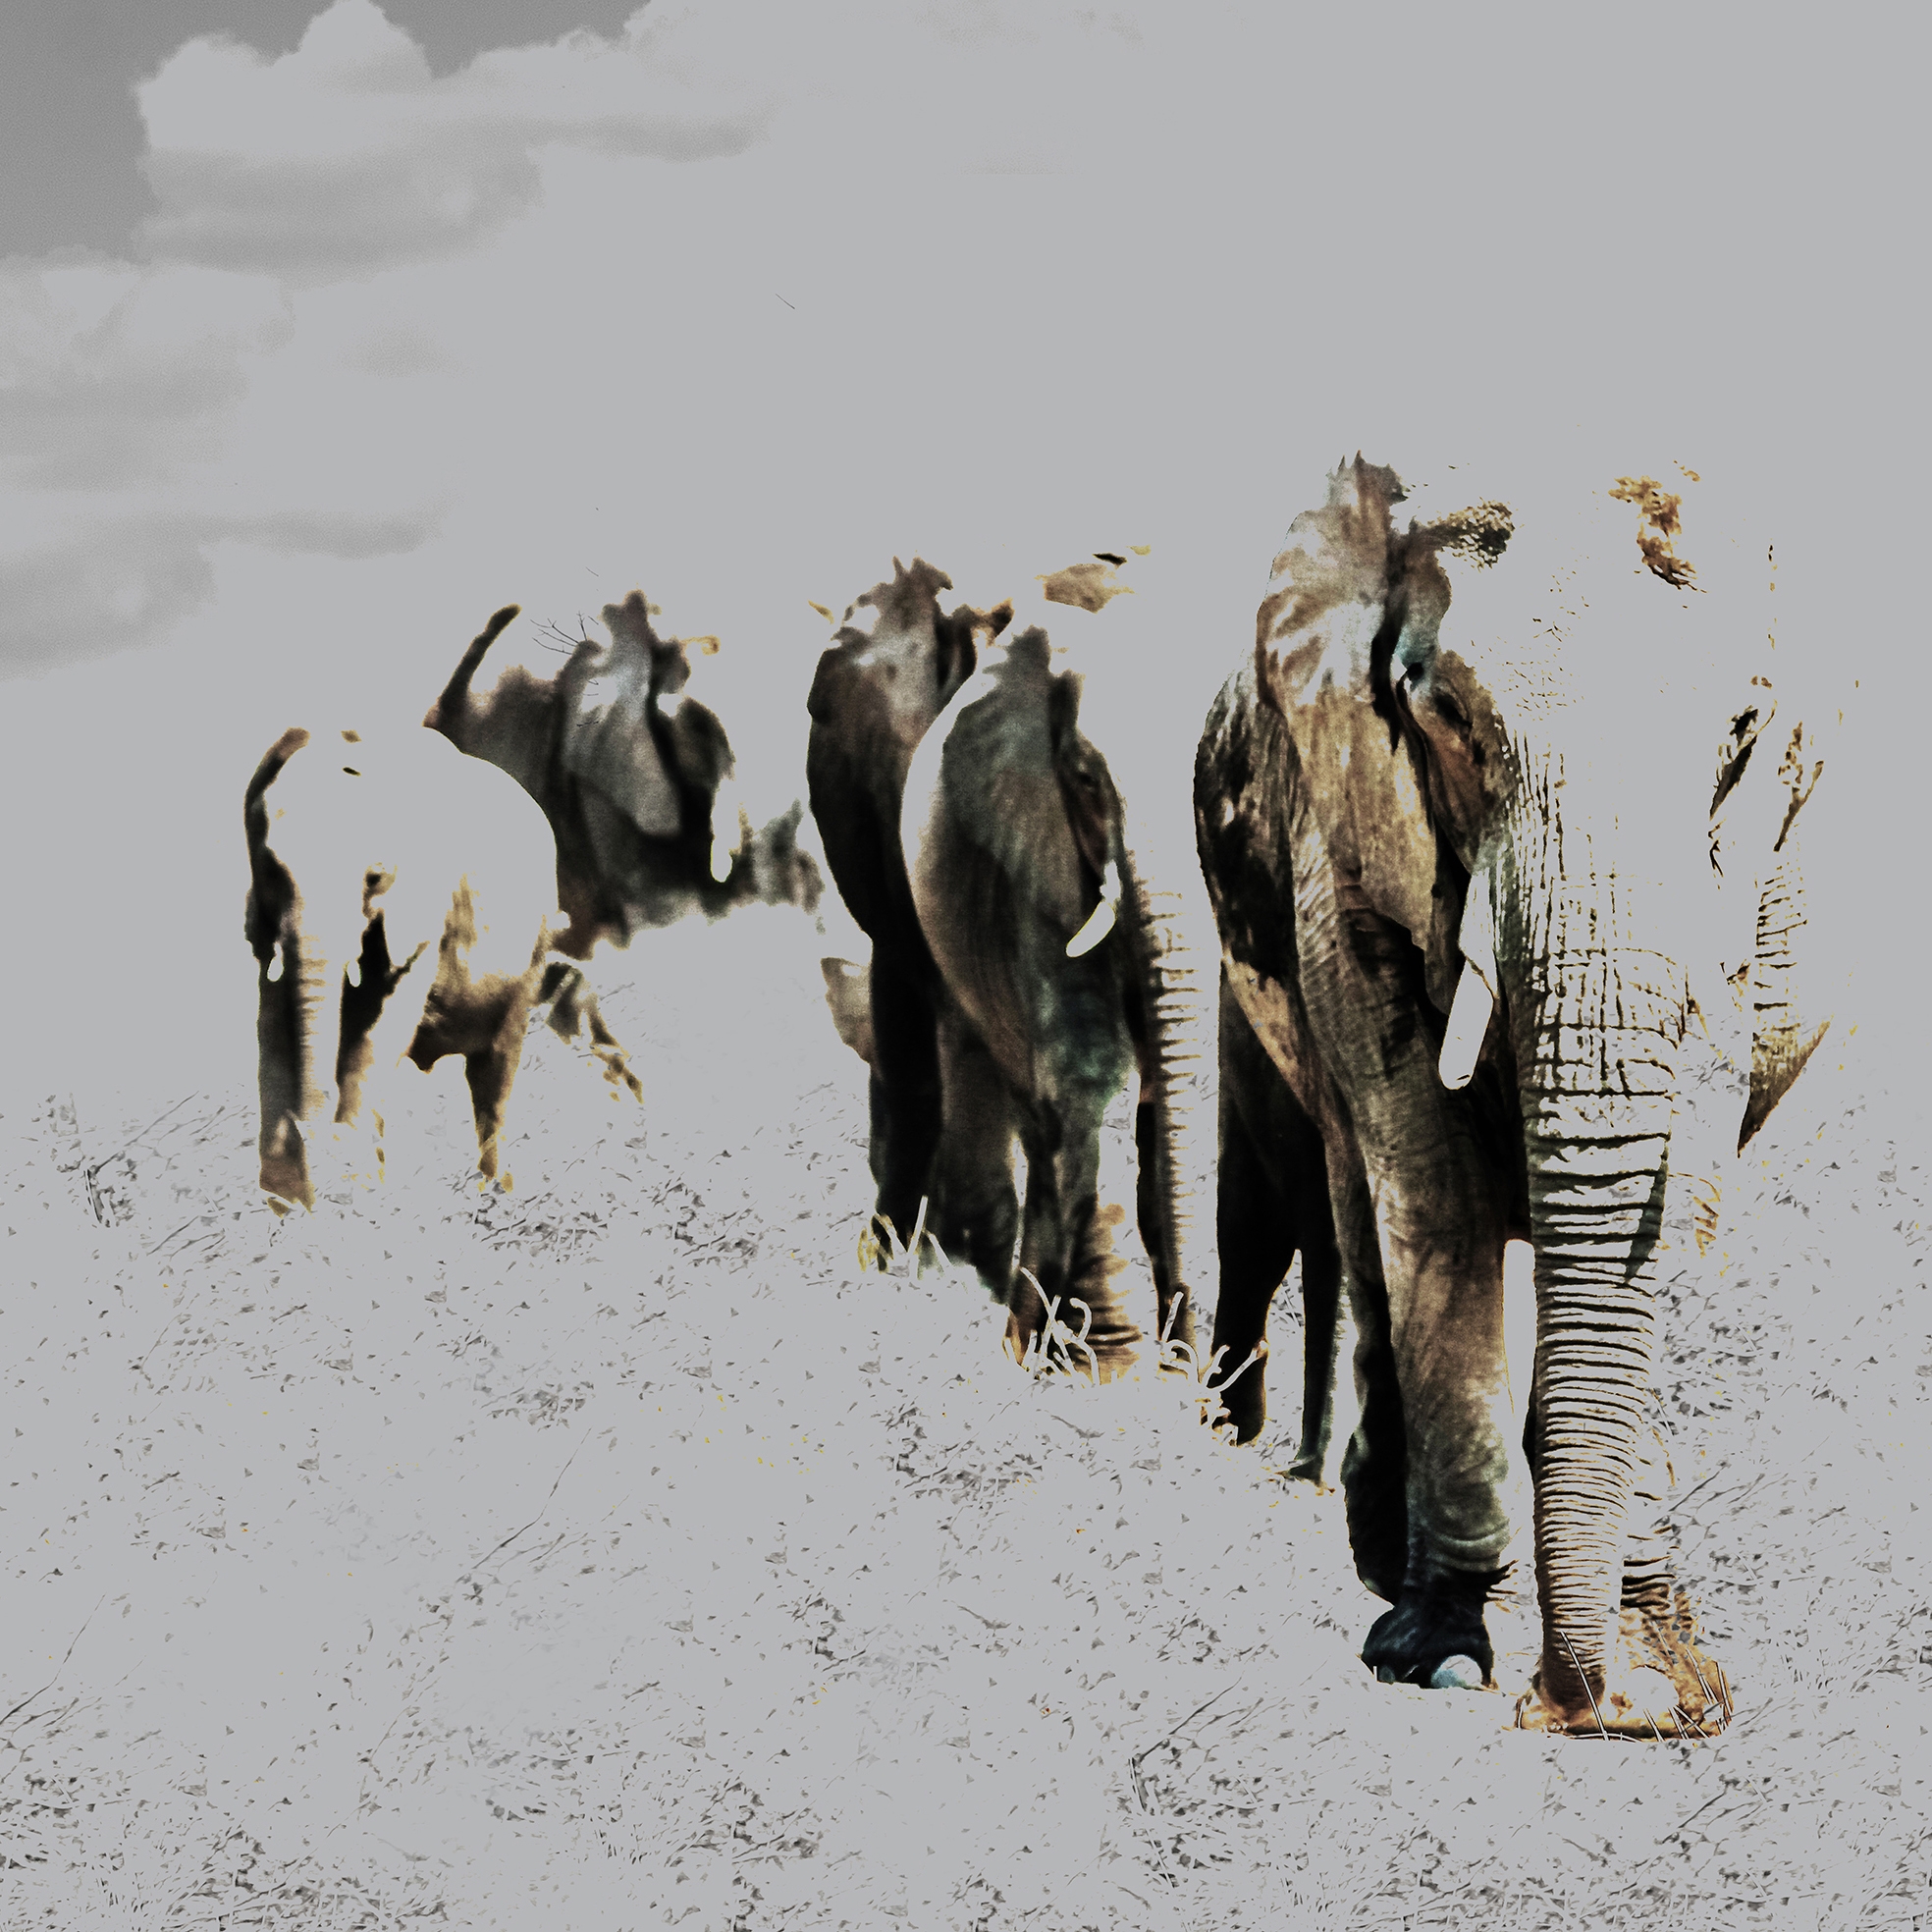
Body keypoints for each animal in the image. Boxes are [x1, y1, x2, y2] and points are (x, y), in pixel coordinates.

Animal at [244, 720, 561, 1213]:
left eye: (375, 878)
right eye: (271, 869)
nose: (312, 1130)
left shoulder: (424, 911)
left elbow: (381, 1027)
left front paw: (350, 1191)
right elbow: (273, 1024)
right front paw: (291, 1210)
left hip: (535, 945)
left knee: (495, 1068)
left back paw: (495, 1194)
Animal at [1194, 455, 1829, 1734]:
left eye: (1741, 731)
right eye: (1446, 718)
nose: (1570, 1708)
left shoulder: (1743, 895)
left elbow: (1673, 1187)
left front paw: (1664, 1682)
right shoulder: (1347, 852)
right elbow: (1433, 1193)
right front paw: (1442, 1651)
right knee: (1350, 1212)